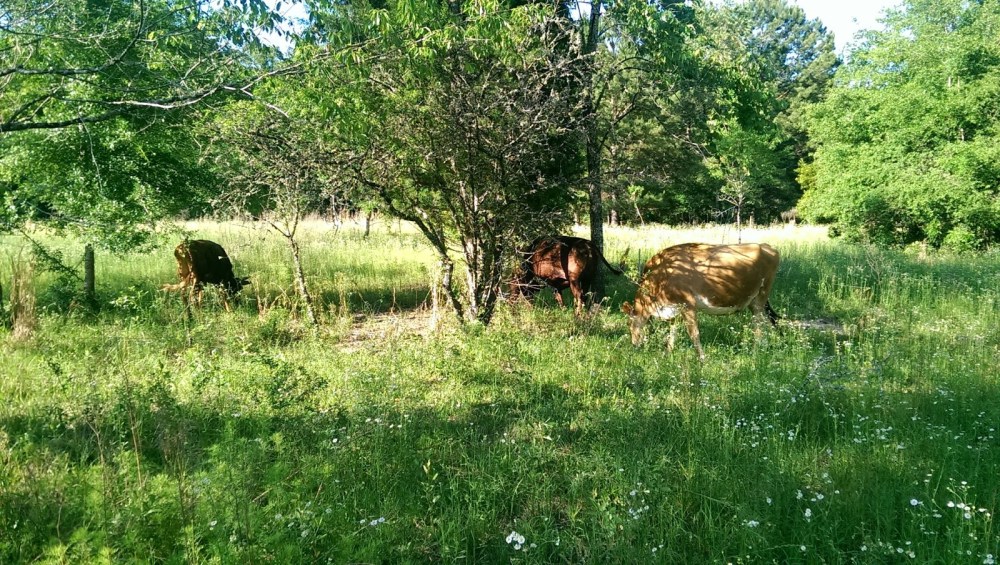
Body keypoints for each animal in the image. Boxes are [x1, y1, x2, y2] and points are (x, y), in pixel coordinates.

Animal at [621, 243, 779, 360]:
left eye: (628, 323)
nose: (634, 345)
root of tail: (766, 246)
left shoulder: (688, 304)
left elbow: (694, 333)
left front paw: (702, 359)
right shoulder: (674, 308)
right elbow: (673, 332)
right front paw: (667, 354)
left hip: (761, 296)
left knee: (758, 324)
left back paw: (755, 352)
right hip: (754, 301)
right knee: (767, 321)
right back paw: (766, 348)